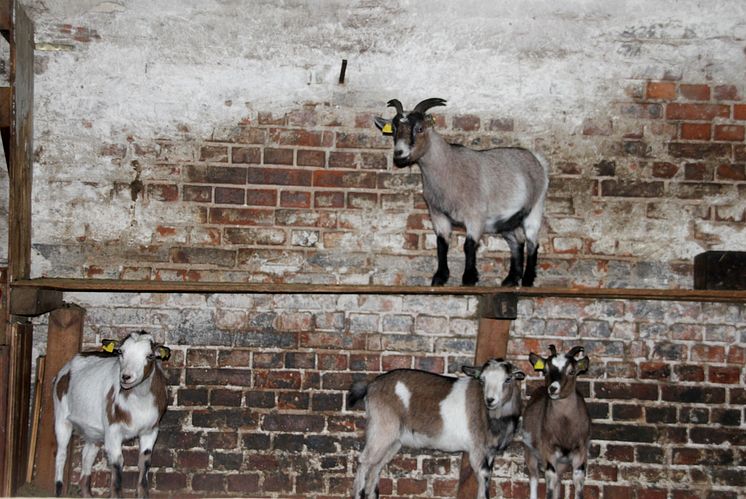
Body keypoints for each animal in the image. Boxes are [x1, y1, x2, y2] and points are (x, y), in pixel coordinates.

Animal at [52, 330, 170, 498]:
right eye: (120, 352)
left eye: (150, 355)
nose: (126, 377)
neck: (139, 400)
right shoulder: (113, 431)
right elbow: (117, 464)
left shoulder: (151, 430)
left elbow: (145, 462)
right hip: (61, 416)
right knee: (61, 454)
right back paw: (58, 490)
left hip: (93, 433)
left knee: (87, 456)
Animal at [346, 360, 520, 499]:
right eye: (482, 379)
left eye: (508, 379)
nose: (490, 400)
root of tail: (371, 385)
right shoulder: (477, 449)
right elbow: (484, 474)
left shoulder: (490, 452)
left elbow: (488, 475)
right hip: (382, 429)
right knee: (364, 461)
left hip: (393, 440)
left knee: (376, 466)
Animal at [520, 346, 588, 498]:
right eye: (545, 370)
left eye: (572, 371)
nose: (552, 388)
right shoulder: (549, 451)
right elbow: (550, 479)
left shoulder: (580, 451)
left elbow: (578, 481)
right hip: (529, 452)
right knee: (534, 477)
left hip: (562, 464)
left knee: (558, 481)